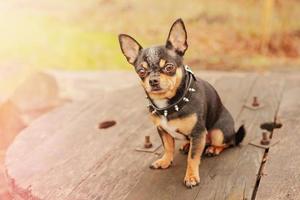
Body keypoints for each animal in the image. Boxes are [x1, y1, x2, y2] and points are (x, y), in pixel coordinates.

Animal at [118, 18, 245, 188]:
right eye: (141, 72)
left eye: (169, 67)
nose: (153, 80)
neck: (169, 104)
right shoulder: (162, 130)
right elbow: (168, 147)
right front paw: (165, 161)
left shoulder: (198, 132)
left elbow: (193, 158)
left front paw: (191, 176)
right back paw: (187, 145)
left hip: (218, 132)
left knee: (227, 143)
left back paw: (213, 149)